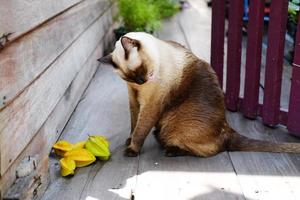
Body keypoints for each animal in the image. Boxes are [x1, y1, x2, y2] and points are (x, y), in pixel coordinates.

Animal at [99, 32, 300, 157]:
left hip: (173, 128)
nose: (142, 81)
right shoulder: (134, 100)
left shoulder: (150, 105)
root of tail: (227, 127)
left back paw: (171, 150)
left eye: (141, 70)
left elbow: (140, 130)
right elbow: (134, 124)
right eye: (130, 78)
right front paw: (129, 140)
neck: (139, 89)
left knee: (211, 150)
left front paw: (132, 149)